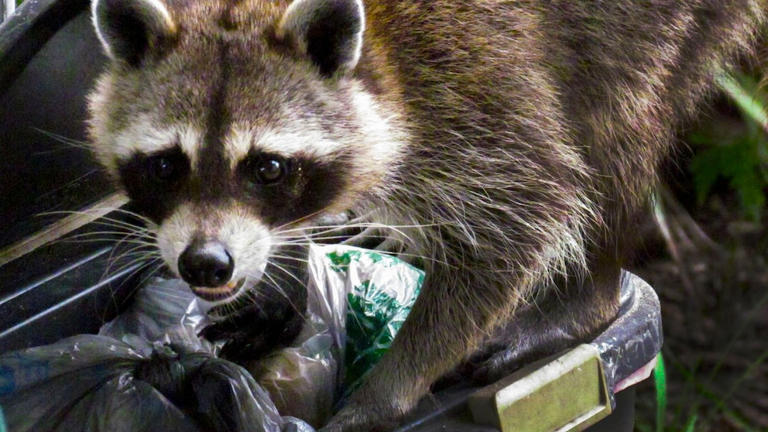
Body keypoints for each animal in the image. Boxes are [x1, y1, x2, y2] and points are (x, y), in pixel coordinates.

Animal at [87, 0, 767, 430]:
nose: (205, 263)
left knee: (615, 130)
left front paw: (387, 392)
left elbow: (529, 213)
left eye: (268, 168)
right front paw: (287, 281)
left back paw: (586, 299)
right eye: (167, 166)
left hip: (657, 24)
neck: (376, 66)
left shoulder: (475, 97)